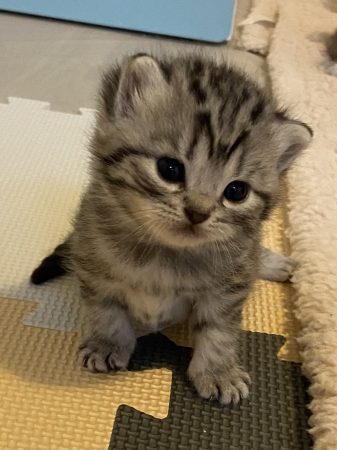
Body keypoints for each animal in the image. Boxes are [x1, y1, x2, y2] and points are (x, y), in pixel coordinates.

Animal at [30, 51, 310, 404]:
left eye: (236, 191)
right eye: (170, 169)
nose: (197, 212)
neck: (164, 253)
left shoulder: (227, 289)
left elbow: (219, 330)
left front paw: (218, 372)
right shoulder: (93, 263)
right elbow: (105, 309)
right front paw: (107, 343)